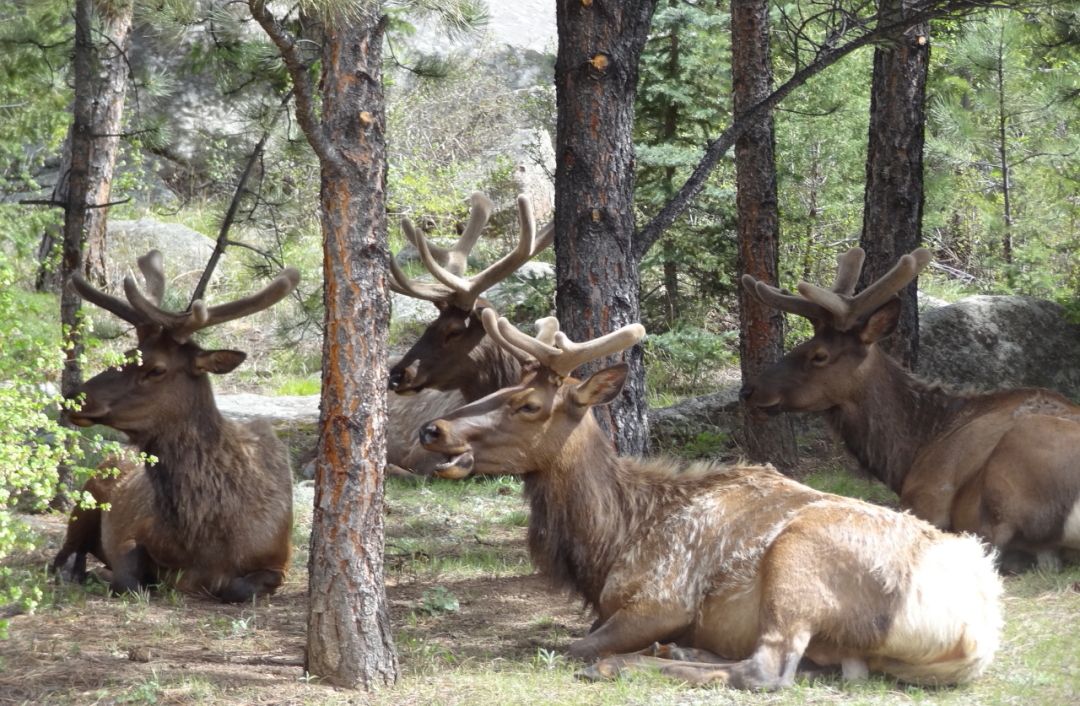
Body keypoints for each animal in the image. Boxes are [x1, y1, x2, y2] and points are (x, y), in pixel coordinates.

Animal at [52, 250, 297, 602]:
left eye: (156, 369)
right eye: (127, 353)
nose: (74, 398)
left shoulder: (279, 559)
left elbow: (236, 587)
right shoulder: (131, 534)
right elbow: (127, 580)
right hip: (85, 500)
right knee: (65, 552)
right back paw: (73, 570)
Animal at [417, 311, 1003, 689]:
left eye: (529, 404)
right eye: (498, 389)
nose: (433, 429)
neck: (611, 538)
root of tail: (976, 637)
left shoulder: (662, 596)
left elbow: (572, 644)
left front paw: (617, 654)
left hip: (798, 557)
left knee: (767, 671)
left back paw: (630, 664)